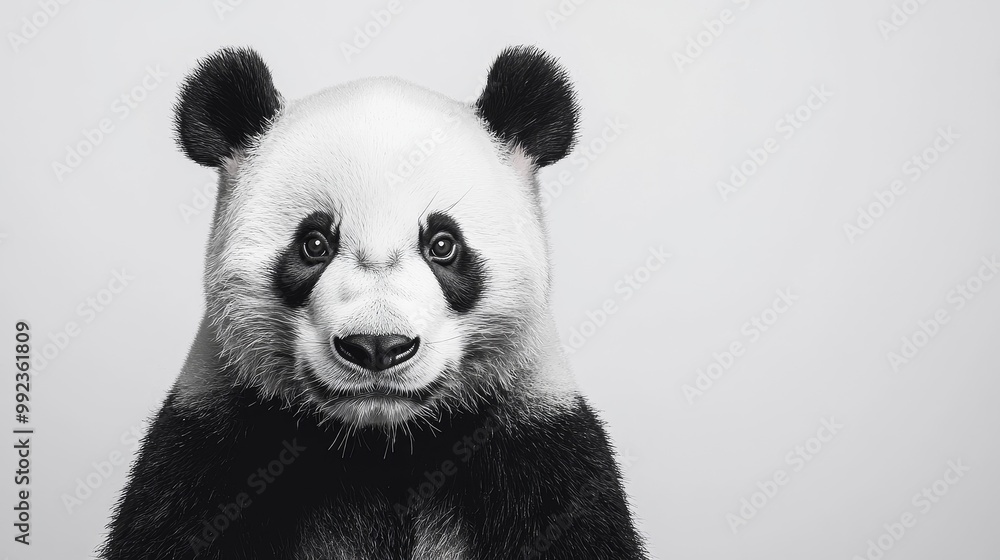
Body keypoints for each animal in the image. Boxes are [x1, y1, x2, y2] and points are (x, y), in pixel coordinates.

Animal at [101, 46, 648, 560]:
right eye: (314, 244)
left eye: (443, 245)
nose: (377, 347)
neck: (382, 446)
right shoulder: (214, 448)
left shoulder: (539, 452)